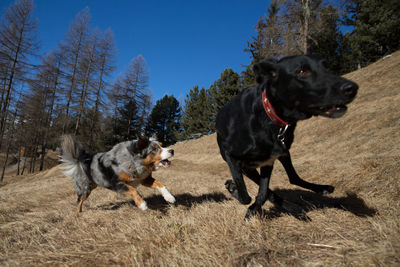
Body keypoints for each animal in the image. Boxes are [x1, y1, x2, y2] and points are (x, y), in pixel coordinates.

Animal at [216, 55, 360, 220]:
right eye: (302, 71)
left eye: (326, 67)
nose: (352, 88)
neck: (269, 115)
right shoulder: (233, 158)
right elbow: (247, 196)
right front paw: (239, 195)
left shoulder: (269, 161)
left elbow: (263, 192)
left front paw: (255, 206)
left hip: (283, 154)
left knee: (293, 178)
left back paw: (316, 191)